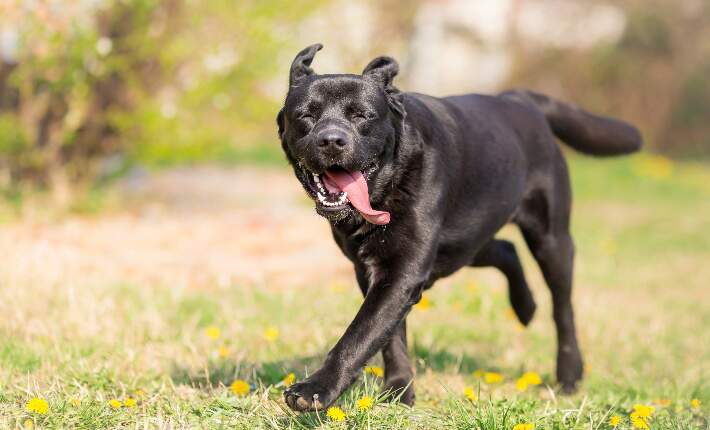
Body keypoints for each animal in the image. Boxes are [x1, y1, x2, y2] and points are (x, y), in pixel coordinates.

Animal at [278, 42, 644, 410]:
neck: (388, 186)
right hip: (465, 243)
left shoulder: (404, 270)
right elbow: (389, 335)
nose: (331, 140)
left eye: (361, 115)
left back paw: (568, 372)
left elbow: (360, 334)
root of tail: (519, 98)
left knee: (562, 308)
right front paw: (399, 390)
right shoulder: (374, 270)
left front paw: (315, 389)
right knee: (505, 250)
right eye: (306, 116)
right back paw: (525, 307)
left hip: (550, 240)